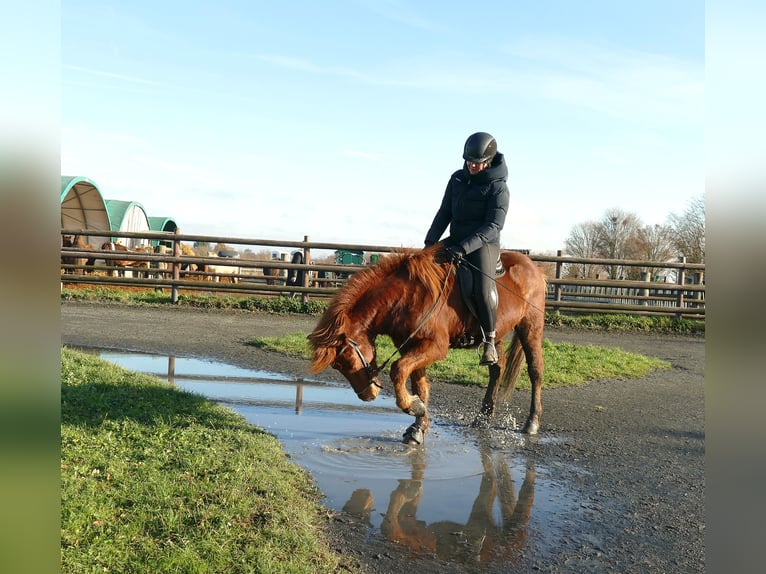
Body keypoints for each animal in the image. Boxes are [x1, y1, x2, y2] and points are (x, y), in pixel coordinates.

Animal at [308, 243, 546, 445]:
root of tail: (534, 267)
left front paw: (411, 407)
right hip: (497, 336)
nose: (368, 396)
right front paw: (418, 424)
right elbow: (419, 385)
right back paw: (483, 417)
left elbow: (398, 369)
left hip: (530, 326)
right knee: (497, 369)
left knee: (535, 370)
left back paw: (532, 423)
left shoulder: (435, 347)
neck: (405, 297)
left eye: (347, 360)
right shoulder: (413, 347)